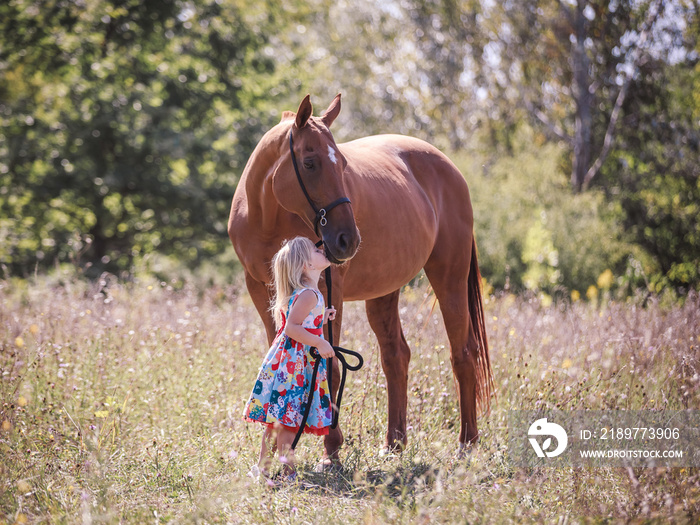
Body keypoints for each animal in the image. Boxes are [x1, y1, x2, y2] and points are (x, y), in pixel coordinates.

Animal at [230, 94, 492, 462]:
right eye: (309, 163)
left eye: (342, 164)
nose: (347, 240)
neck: (267, 215)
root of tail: (450, 169)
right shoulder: (261, 289)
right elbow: (279, 350)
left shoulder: (328, 289)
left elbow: (331, 364)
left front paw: (332, 449)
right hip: (384, 291)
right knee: (396, 355)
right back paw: (394, 443)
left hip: (449, 276)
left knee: (463, 353)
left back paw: (467, 443)